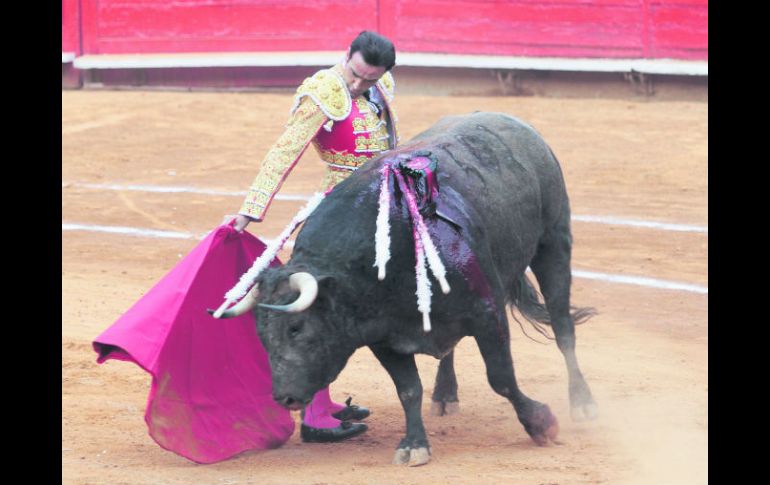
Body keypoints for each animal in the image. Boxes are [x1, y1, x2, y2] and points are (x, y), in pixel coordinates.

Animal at [249, 112, 596, 466]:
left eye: (296, 327)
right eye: (261, 334)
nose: (284, 397)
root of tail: (517, 123)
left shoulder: (488, 312)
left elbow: (501, 377)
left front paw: (541, 423)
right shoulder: (382, 337)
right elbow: (409, 390)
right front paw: (414, 444)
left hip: (553, 242)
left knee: (562, 326)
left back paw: (582, 402)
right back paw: (444, 394)